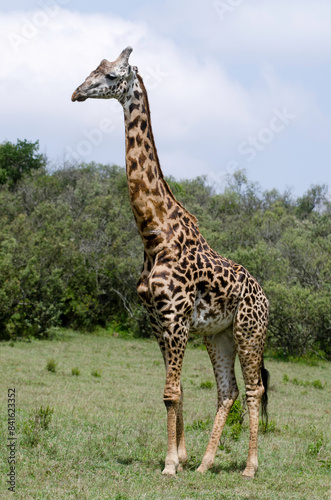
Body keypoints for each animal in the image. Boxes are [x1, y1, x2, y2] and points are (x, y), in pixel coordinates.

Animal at [72, 47, 270, 480]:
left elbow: (170, 392)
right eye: (93, 68)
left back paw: (250, 468)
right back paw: (206, 464)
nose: (76, 92)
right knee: (227, 390)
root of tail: (265, 297)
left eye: (111, 75)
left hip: (249, 331)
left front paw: (168, 464)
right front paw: (180, 457)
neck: (154, 233)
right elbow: (174, 391)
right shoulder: (157, 322)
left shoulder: (176, 318)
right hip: (218, 335)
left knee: (254, 389)